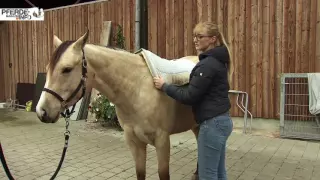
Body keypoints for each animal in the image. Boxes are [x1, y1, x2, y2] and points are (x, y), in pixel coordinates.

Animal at [35, 30, 200, 179]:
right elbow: (140, 173)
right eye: (47, 69)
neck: (137, 88)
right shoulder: (134, 142)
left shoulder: (162, 141)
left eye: (67, 69)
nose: (42, 111)